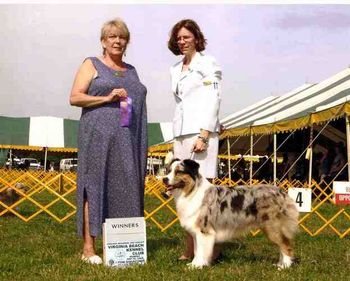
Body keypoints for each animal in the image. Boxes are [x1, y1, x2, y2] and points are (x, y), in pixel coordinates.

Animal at [163, 159, 300, 268]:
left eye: (179, 171)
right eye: (168, 171)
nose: (164, 179)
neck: (191, 191)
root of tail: (281, 192)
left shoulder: (204, 230)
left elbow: (201, 251)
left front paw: (197, 266)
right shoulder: (197, 232)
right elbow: (197, 251)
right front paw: (194, 264)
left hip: (272, 227)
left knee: (286, 245)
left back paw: (284, 267)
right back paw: (280, 264)